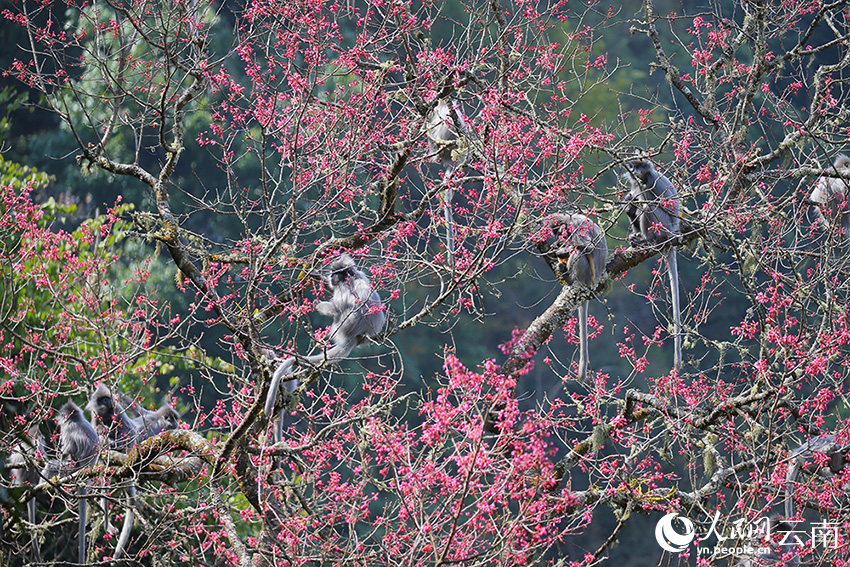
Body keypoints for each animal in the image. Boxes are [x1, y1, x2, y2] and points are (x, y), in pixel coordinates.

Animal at [264, 253, 386, 442]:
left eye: (337, 273)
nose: (331, 277)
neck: (352, 277)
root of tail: (356, 337)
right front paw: (318, 277)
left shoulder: (344, 288)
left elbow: (337, 307)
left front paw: (317, 302)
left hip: (339, 326)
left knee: (338, 311)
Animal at [549, 213, 608, 382]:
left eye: (559, 231)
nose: (561, 236)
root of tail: (592, 282)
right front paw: (557, 247)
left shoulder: (576, 226)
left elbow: (588, 247)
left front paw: (561, 249)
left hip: (585, 272)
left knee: (579, 252)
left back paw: (569, 275)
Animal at [623, 158, 683, 371]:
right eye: (633, 166)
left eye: (640, 166)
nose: (634, 170)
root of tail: (672, 234)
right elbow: (631, 200)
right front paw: (628, 203)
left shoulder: (650, 184)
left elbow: (650, 201)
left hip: (663, 226)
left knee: (648, 206)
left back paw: (646, 239)